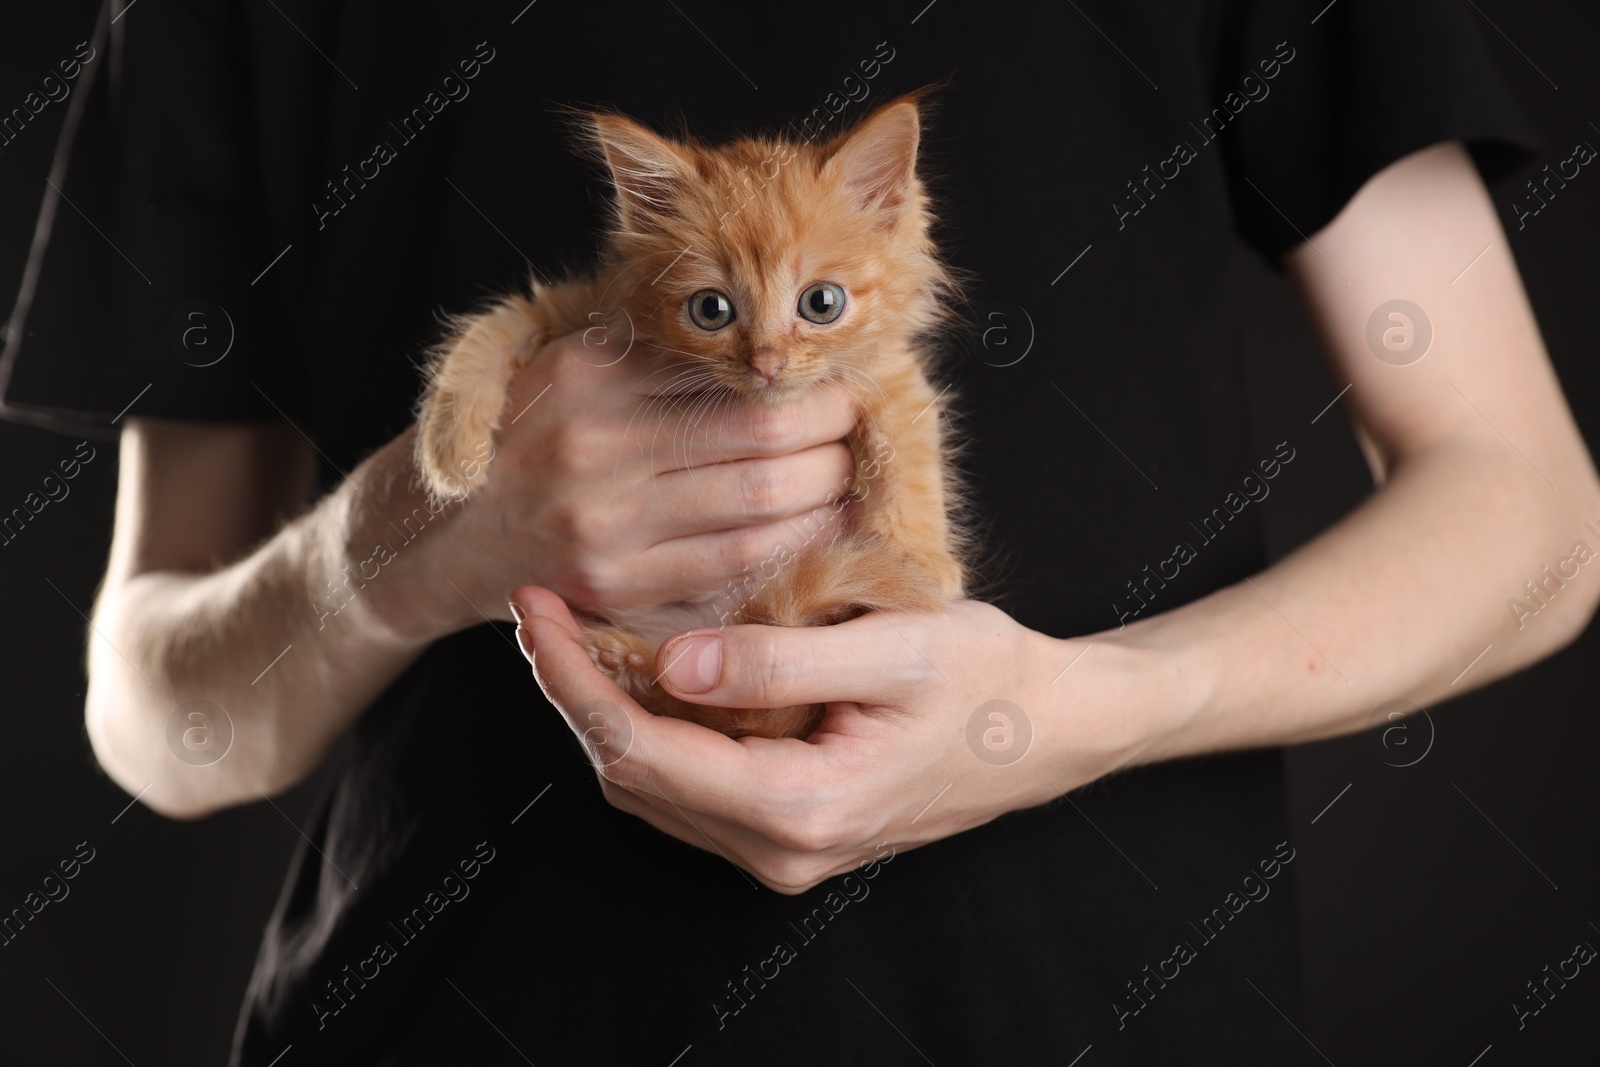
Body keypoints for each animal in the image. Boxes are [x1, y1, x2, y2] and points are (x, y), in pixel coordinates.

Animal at [416, 95, 960, 739]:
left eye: (821, 303)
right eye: (711, 309)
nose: (767, 362)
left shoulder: (890, 375)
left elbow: (910, 447)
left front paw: (922, 561)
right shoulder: (590, 311)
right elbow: (498, 325)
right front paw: (450, 447)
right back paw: (626, 662)